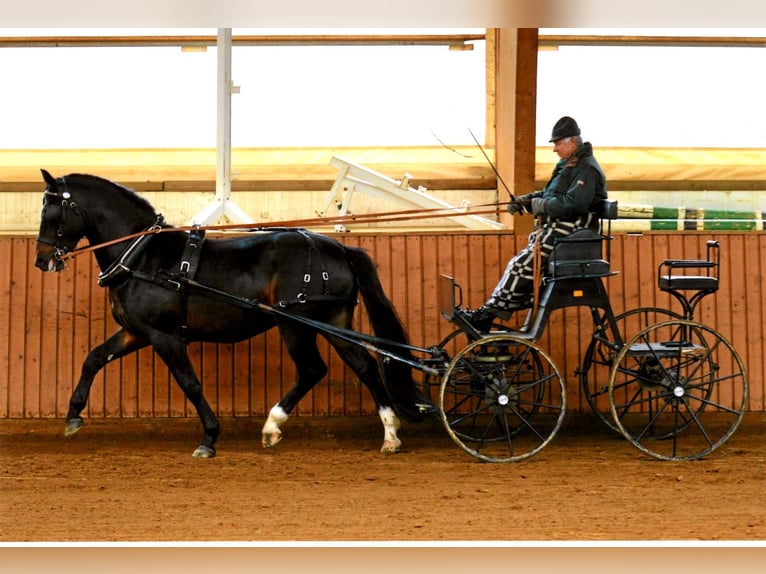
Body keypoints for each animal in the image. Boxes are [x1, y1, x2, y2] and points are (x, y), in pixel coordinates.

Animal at [34, 169, 435, 458]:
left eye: (51, 211)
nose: (42, 260)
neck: (145, 257)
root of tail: (336, 247)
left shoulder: (165, 336)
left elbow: (190, 383)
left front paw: (209, 438)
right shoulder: (137, 332)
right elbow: (94, 357)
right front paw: (73, 415)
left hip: (295, 323)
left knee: (313, 369)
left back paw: (273, 426)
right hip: (333, 321)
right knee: (364, 366)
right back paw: (390, 434)